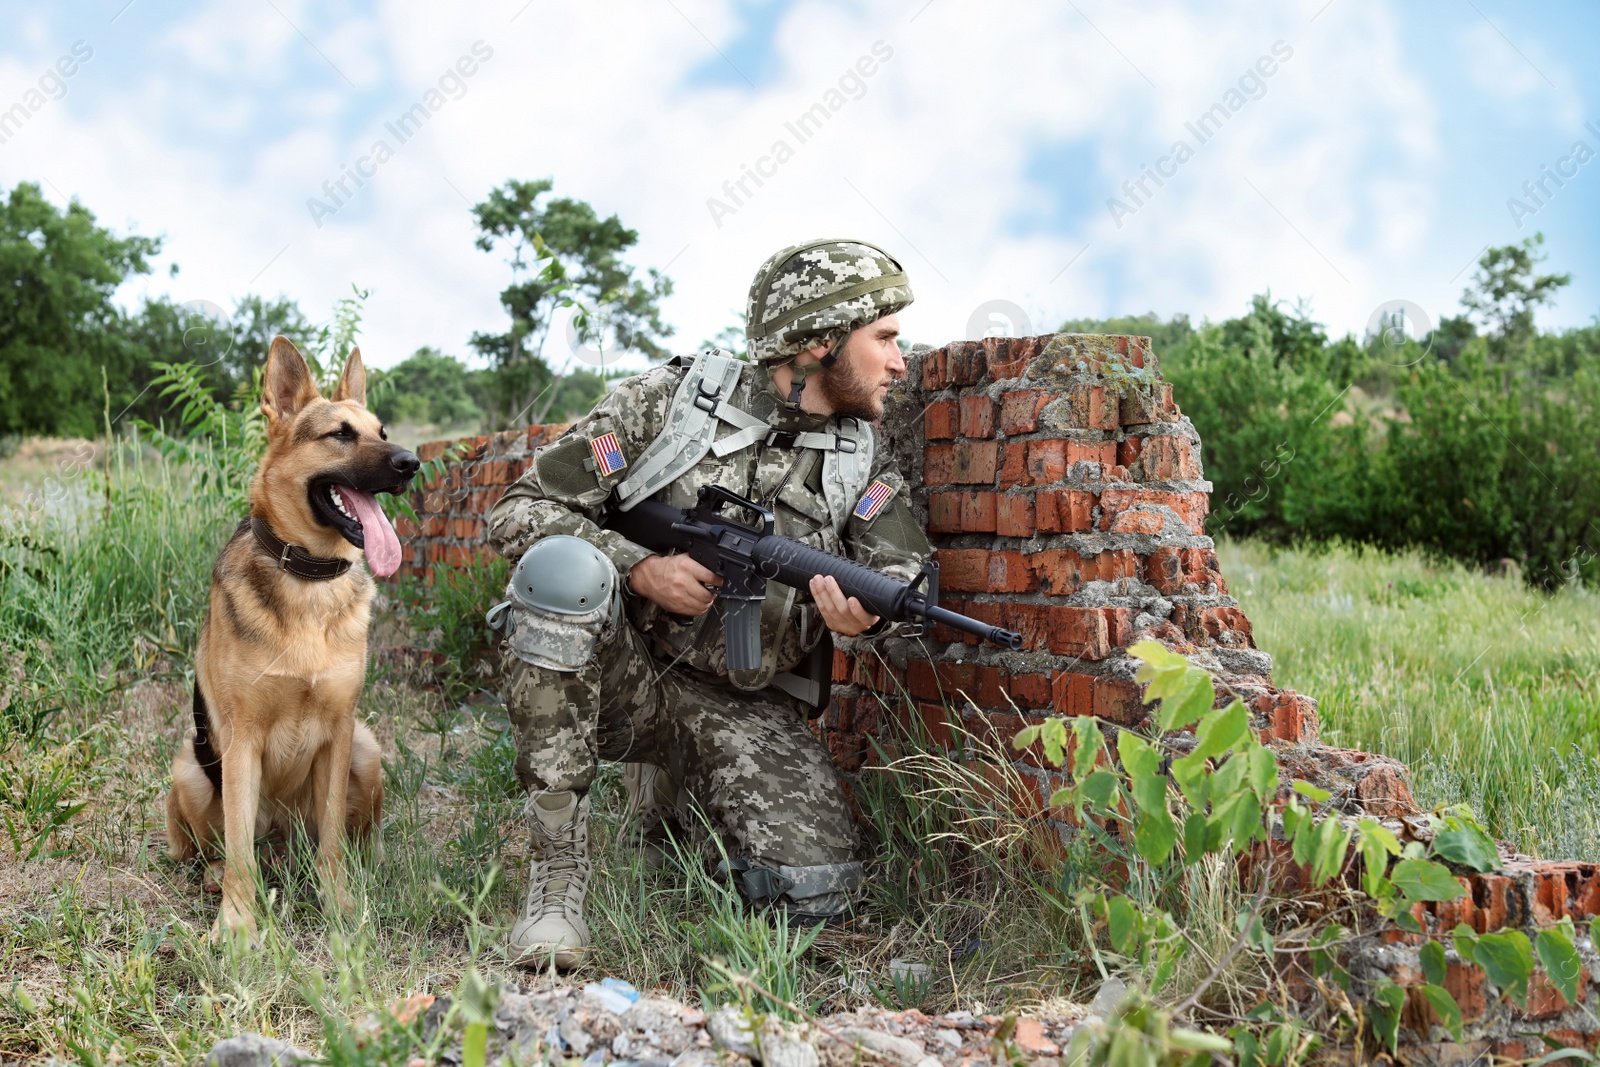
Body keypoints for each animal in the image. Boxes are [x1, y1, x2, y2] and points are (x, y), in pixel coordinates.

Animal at [167, 337, 419, 940]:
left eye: (381, 431)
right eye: (340, 434)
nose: (411, 463)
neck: (308, 579)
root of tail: (283, 837)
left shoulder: (339, 733)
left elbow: (331, 842)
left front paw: (341, 905)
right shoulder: (241, 745)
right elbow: (239, 852)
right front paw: (237, 925)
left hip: (367, 751)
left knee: (347, 838)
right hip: (190, 769)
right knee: (217, 849)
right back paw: (213, 876)